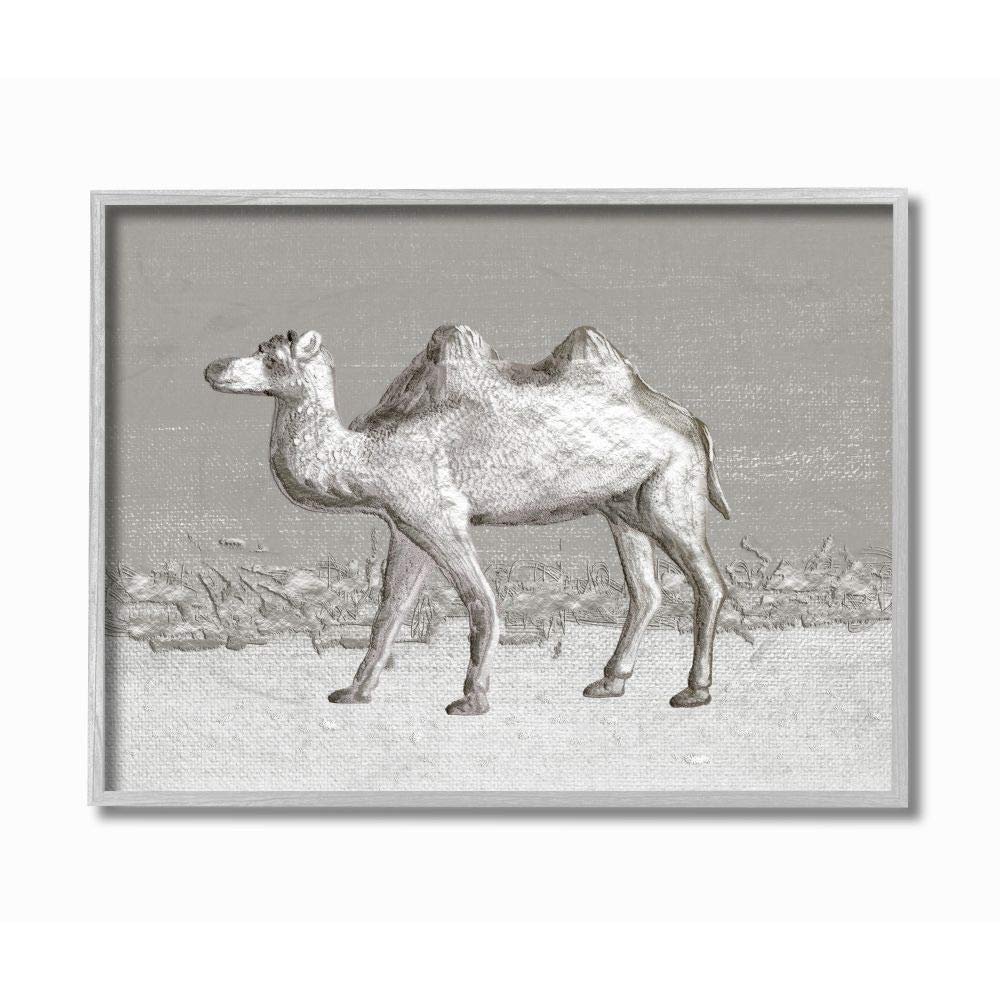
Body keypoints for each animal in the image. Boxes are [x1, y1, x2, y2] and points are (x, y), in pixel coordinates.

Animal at [204, 324, 731, 716]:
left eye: (273, 358)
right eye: (259, 347)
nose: (213, 367)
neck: (367, 455)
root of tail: (695, 424)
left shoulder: (440, 518)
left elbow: (481, 600)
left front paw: (472, 698)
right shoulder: (406, 527)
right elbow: (390, 610)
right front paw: (354, 692)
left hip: (670, 495)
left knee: (708, 582)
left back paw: (694, 690)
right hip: (622, 507)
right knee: (646, 590)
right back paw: (610, 682)